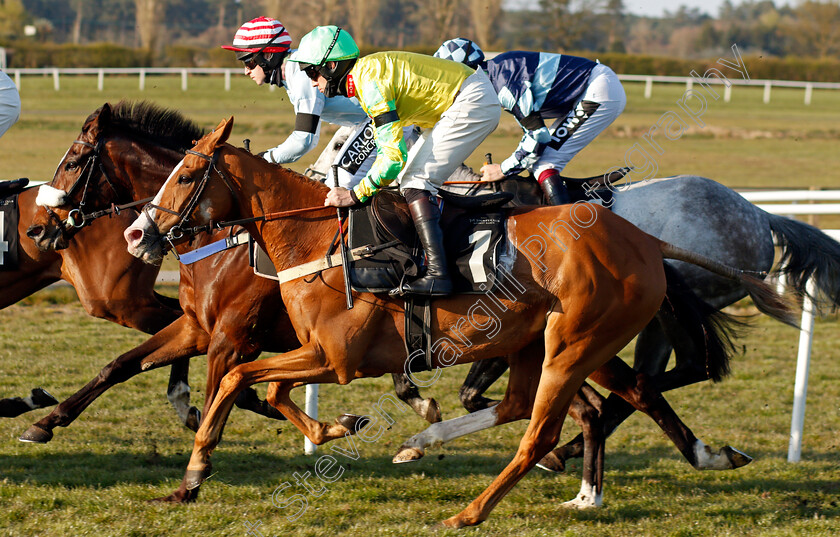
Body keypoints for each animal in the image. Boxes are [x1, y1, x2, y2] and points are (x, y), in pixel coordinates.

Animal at [23, 100, 752, 506]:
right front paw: (46, 421)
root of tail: (638, 235)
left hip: (576, 340)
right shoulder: (219, 332)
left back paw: (665, 462)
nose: (41, 228)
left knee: (626, 394)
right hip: (545, 343)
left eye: (76, 159)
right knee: (582, 404)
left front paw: (196, 472)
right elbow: (129, 366)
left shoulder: (271, 346)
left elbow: (234, 388)